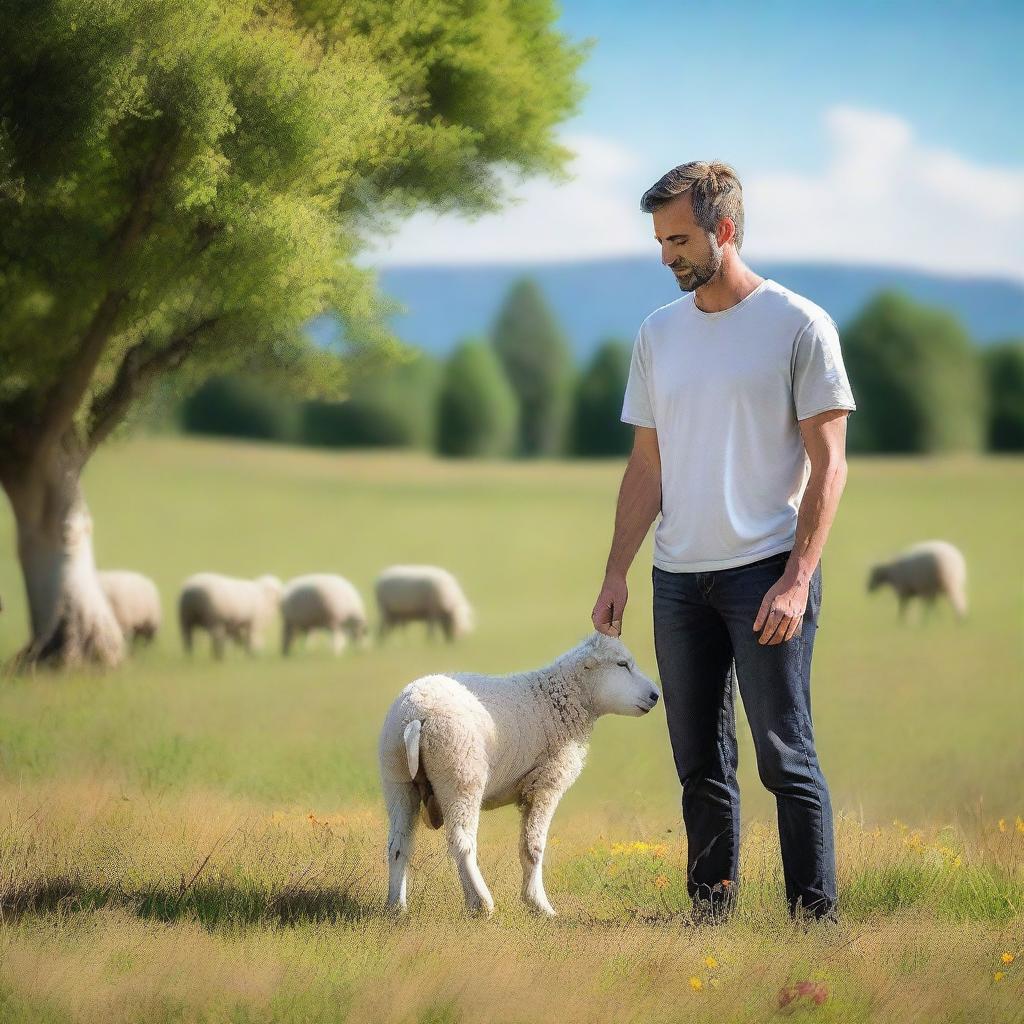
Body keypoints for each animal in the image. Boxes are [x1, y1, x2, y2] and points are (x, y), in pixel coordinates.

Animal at [380, 630, 659, 921]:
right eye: (622, 664)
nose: (655, 695)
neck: (557, 700)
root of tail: (415, 716)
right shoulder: (545, 784)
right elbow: (532, 847)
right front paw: (539, 905)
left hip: (397, 777)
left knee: (398, 845)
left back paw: (396, 907)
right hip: (460, 774)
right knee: (462, 841)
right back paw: (480, 903)